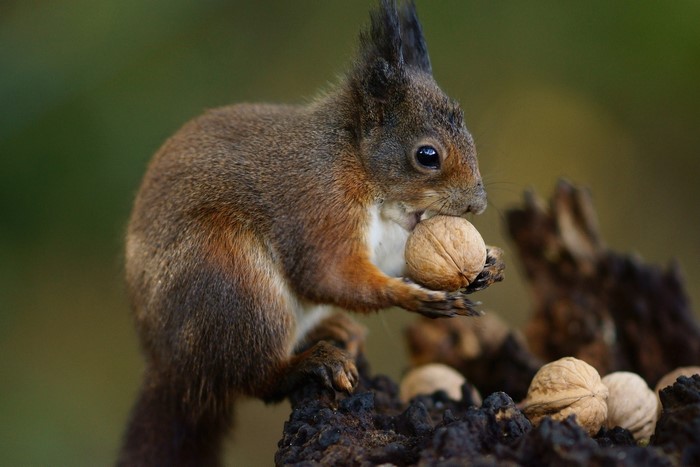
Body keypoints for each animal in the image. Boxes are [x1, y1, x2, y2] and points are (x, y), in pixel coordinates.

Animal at [118, 1, 504, 465]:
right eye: (427, 155)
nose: (477, 204)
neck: (357, 163)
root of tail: (173, 370)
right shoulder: (318, 201)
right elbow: (325, 273)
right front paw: (417, 297)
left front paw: (488, 262)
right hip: (233, 285)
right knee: (255, 379)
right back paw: (309, 363)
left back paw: (334, 330)